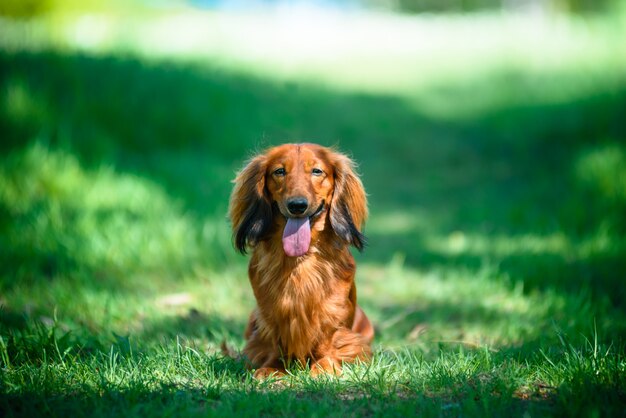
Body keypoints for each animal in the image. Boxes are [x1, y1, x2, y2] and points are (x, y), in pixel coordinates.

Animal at [228, 142, 370, 378]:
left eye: (317, 171)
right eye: (279, 171)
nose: (297, 205)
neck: (299, 261)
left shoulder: (333, 313)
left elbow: (327, 338)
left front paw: (325, 366)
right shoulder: (270, 313)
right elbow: (274, 340)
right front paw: (273, 368)